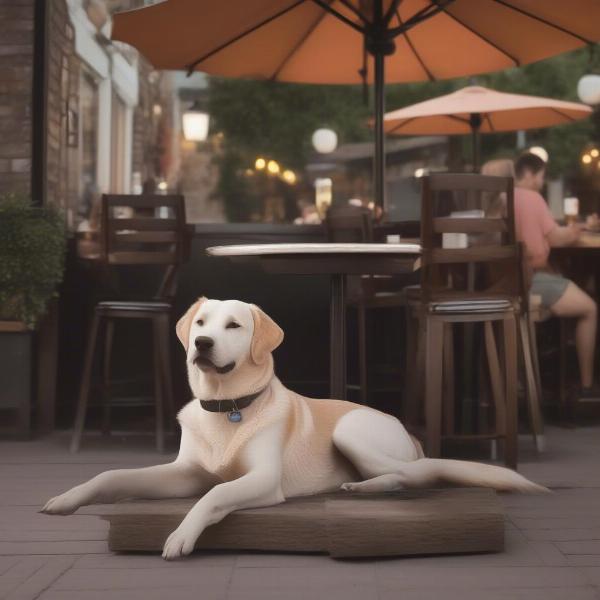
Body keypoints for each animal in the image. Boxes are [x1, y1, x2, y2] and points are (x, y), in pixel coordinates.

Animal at [41, 298, 548, 560]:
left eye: (234, 326)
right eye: (201, 322)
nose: (201, 343)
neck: (227, 408)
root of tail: (407, 431)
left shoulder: (263, 481)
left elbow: (215, 494)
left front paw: (182, 535)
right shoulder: (184, 472)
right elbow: (113, 476)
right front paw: (66, 499)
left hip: (352, 432)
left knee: (414, 475)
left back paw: (365, 487)